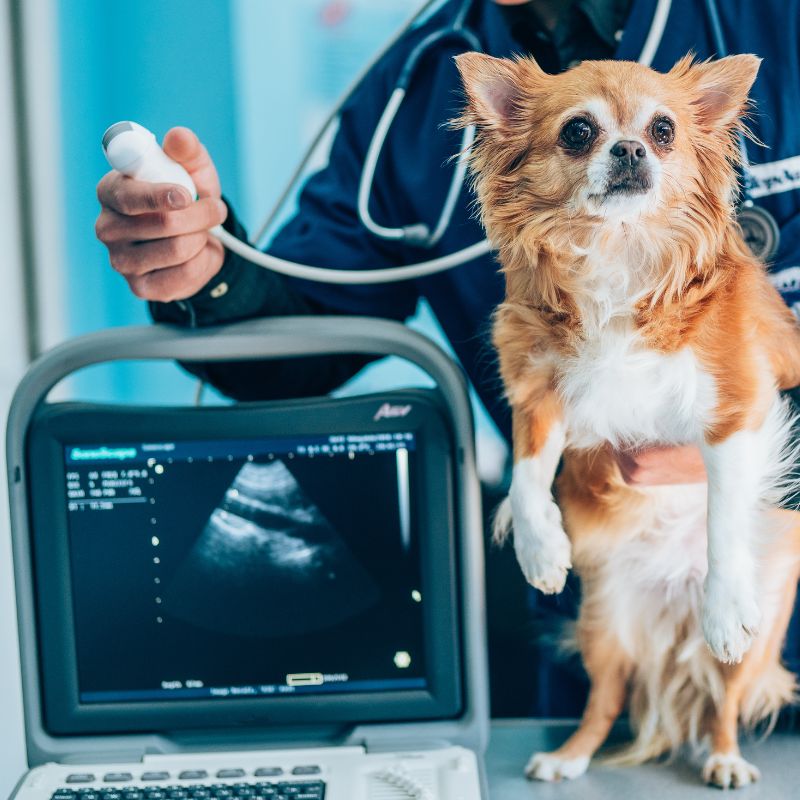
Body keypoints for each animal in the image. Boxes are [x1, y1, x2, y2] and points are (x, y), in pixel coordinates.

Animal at [454, 54, 800, 788]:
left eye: (664, 130)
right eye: (579, 131)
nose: (632, 149)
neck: (617, 248)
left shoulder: (733, 410)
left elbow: (724, 516)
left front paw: (725, 602)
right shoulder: (538, 394)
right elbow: (526, 477)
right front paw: (540, 549)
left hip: (752, 647)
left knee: (724, 702)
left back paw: (725, 757)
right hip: (604, 626)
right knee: (605, 701)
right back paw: (566, 757)